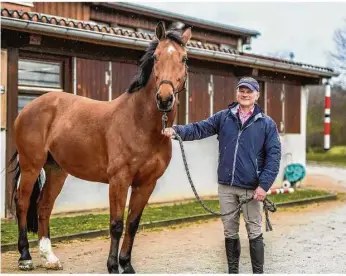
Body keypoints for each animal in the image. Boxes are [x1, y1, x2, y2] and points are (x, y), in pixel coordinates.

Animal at [8, 22, 192, 272]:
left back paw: (49, 258)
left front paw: (127, 265)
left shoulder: (146, 183)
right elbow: (116, 224)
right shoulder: (119, 180)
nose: (164, 98)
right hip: (31, 166)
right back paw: (25, 257)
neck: (140, 122)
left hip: (56, 170)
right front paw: (113, 266)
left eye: (184, 58)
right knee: (23, 202)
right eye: (156, 56)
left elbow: (133, 224)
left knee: (44, 205)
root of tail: (29, 107)